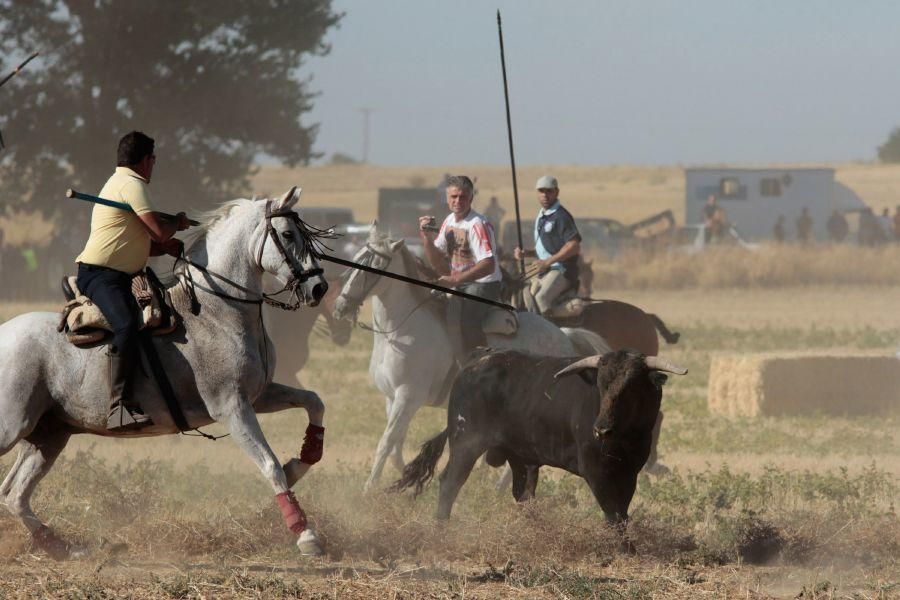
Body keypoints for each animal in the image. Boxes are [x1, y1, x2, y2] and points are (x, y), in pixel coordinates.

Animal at [0, 188, 330, 556]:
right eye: (286, 234)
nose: (319, 288)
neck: (217, 311)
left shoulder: (258, 396)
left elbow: (313, 402)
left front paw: (302, 460)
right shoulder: (231, 406)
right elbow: (270, 465)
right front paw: (305, 534)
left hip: (50, 434)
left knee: (14, 494)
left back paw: (58, 545)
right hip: (13, 426)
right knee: (13, 492)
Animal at [332, 227, 612, 490]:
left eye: (372, 266)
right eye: (355, 258)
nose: (340, 307)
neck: (399, 331)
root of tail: (563, 335)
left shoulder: (408, 397)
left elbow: (386, 443)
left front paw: (369, 490)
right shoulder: (392, 398)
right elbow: (395, 448)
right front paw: (409, 477)